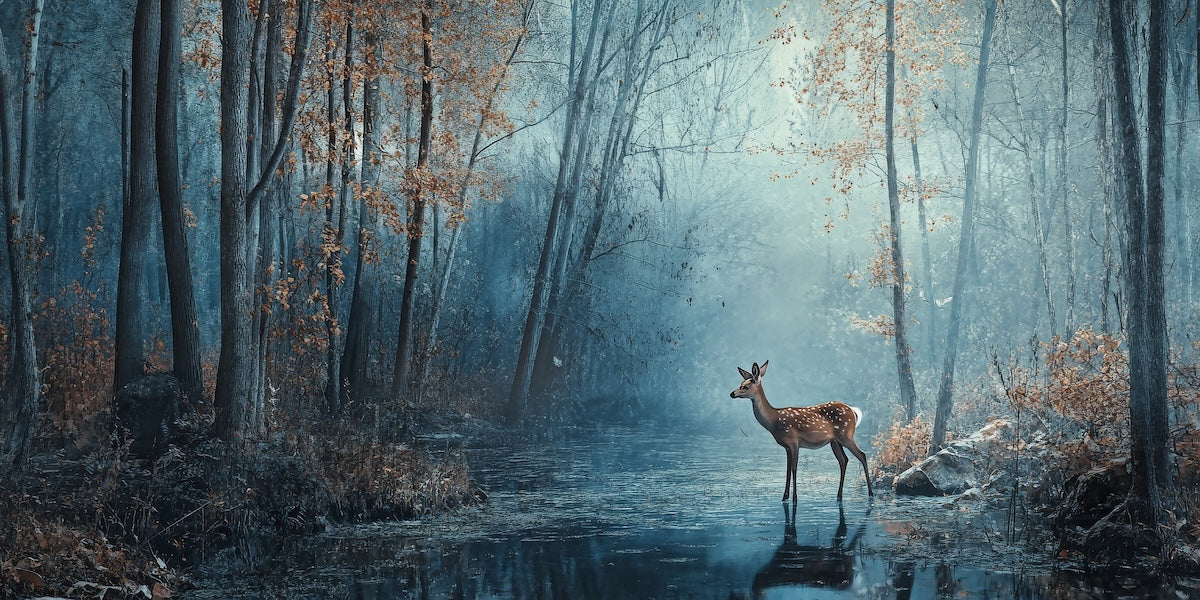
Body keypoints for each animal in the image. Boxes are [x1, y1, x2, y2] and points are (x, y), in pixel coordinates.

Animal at [729, 361, 873, 501]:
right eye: (740, 384)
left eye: (745, 387)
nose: (732, 394)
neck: (773, 420)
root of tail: (853, 411)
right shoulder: (787, 447)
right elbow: (787, 470)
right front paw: (785, 497)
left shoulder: (794, 442)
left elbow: (794, 469)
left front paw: (795, 498)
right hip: (835, 441)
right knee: (844, 460)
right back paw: (839, 496)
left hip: (846, 435)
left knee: (862, 455)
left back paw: (870, 493)